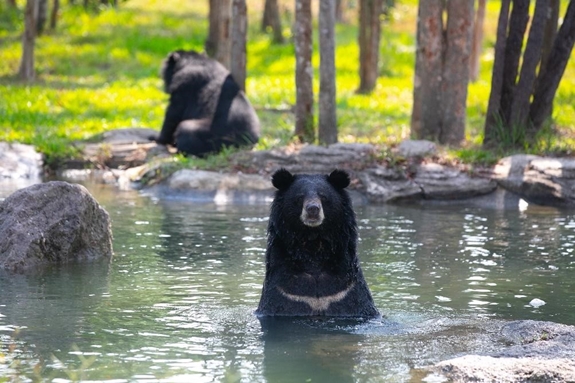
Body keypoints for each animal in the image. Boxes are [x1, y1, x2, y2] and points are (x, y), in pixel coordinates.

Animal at [258, 170, 382, 320]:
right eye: (300, 197)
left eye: (323, 196)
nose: (313, 209)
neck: (314, 244)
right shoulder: (286, 292)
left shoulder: (346, 291)